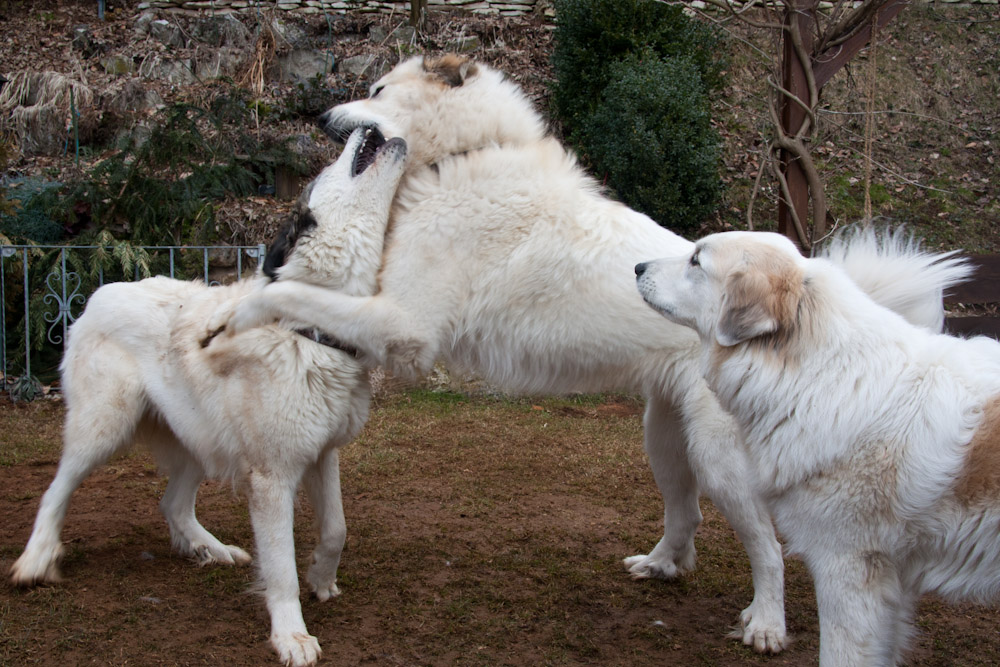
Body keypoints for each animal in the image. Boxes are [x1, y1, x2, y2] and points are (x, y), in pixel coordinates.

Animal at [7, 128, 406, 664]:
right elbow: (280, 565)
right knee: (56, 490)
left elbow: (336, 529)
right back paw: (36, 559)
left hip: (199, 438)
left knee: (173, 504)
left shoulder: (322, 453)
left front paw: (321, 578)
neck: (308, 328)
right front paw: (290, 634)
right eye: (317, 180)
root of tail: (101, 291)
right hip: (104, 429)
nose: (369, 128)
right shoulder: (272, 477)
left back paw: (209, 549)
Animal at [636, 231, 996, 667]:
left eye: (696, 261)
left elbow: (841, 653)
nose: (637, 267)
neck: (825, 374)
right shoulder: (889, 581)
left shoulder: (848, 569)